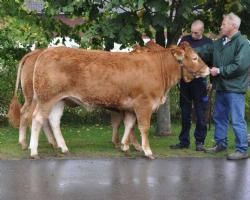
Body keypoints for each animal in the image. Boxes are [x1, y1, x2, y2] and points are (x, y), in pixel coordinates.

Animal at [28, 42, 209, 159]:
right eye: (194, 58)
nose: (208, 69)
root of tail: (45, 52)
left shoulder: (130, 107)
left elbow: (128, 124)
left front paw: (124, 146)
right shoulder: (144, 104)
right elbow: (143, 127)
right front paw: (147, 151)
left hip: (60, 99)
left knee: (54, 120)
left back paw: (63, 148)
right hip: (46, 98)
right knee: (37, 119)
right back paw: (34, 151)